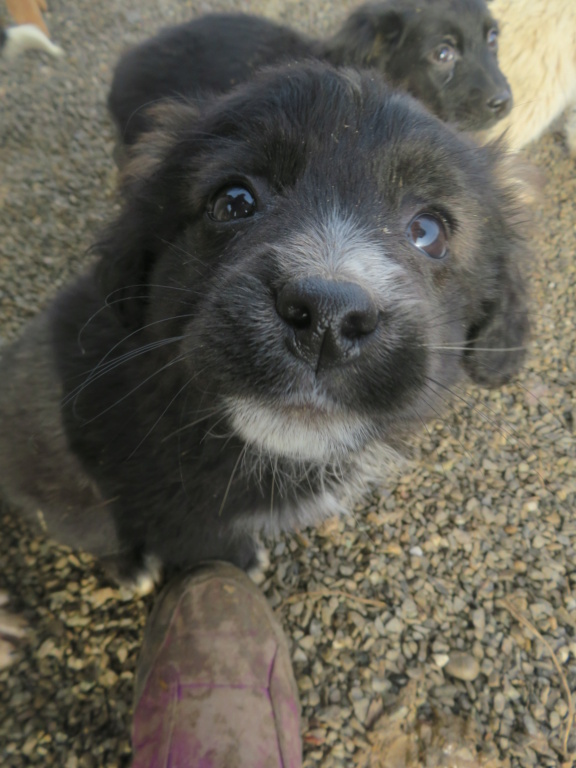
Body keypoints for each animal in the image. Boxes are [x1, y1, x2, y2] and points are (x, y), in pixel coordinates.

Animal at [1, 63, 532, 592]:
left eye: (429, 232)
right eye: (233, 202)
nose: (327, 318)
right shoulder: (172, 514)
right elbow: (205, 545)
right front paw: (239, 562)